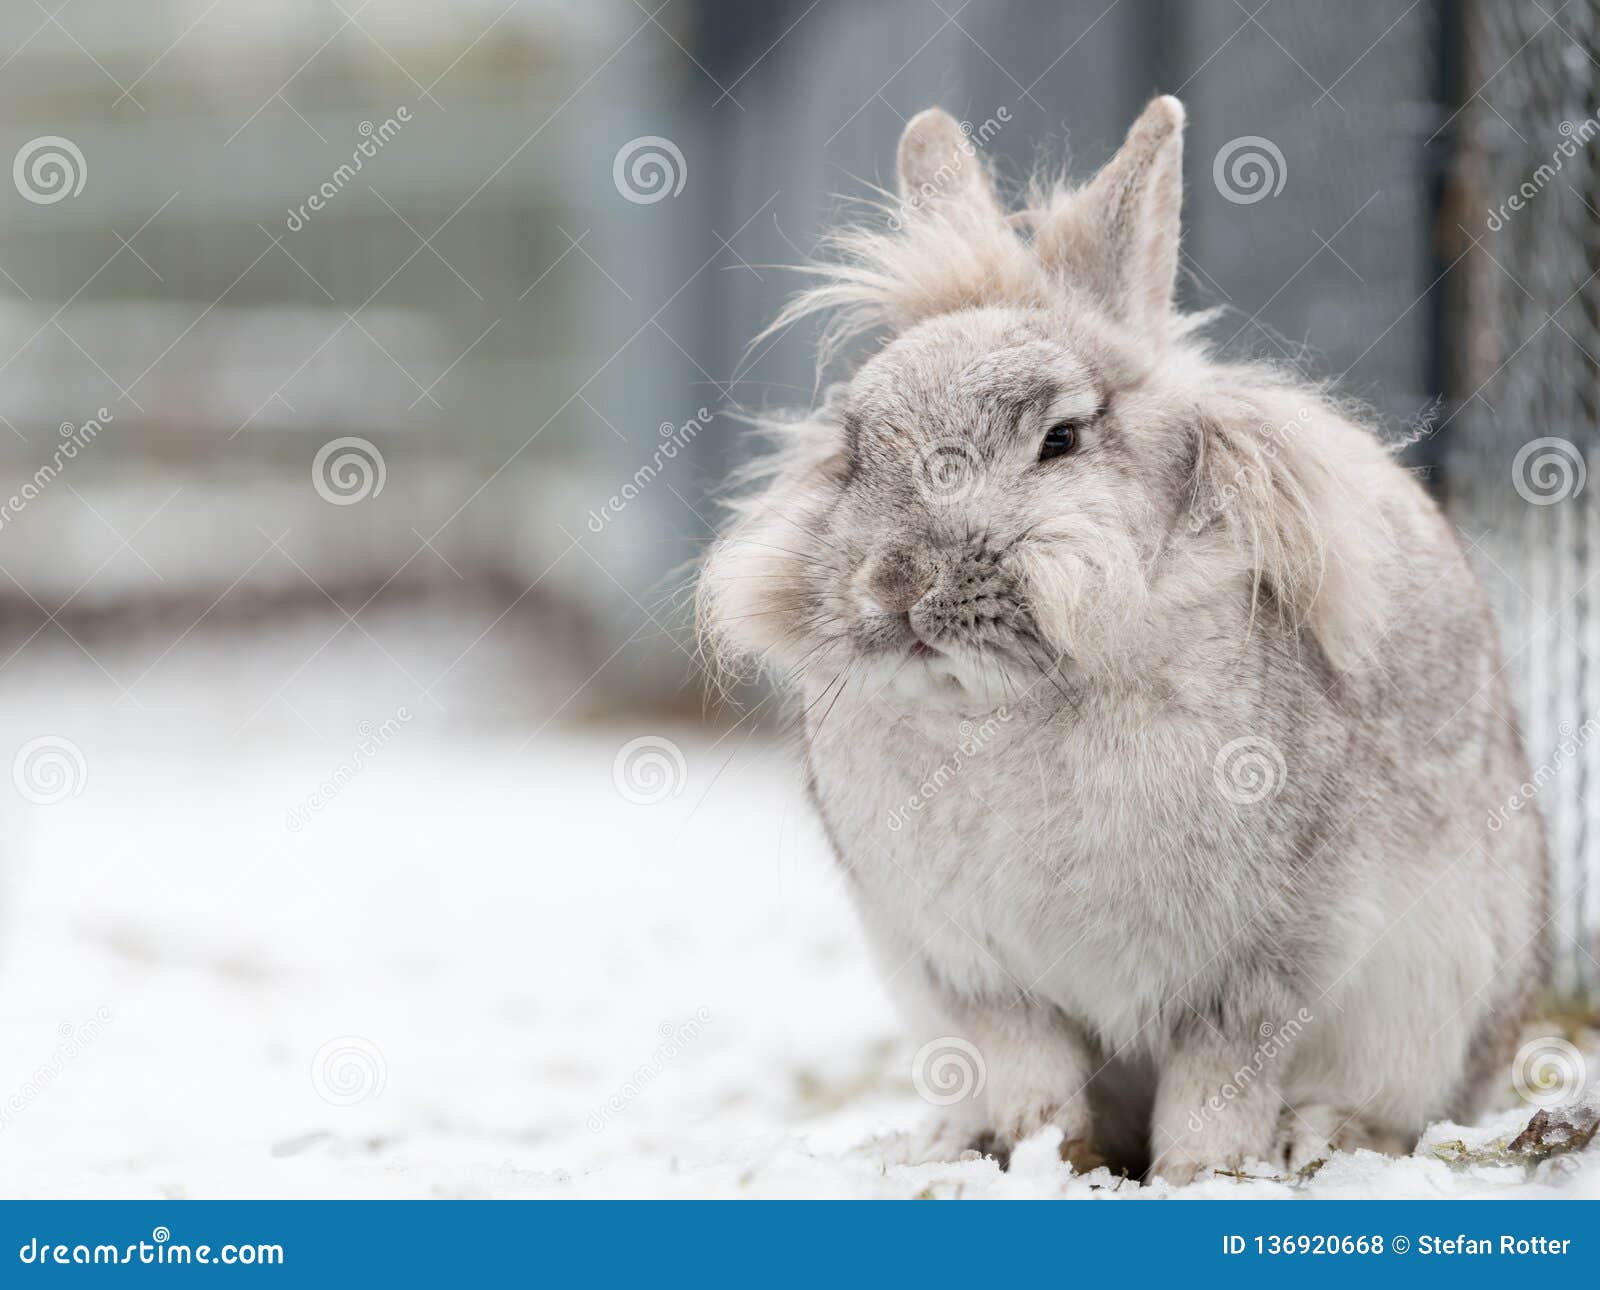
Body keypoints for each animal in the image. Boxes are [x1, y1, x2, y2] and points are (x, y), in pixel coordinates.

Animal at [700, 98, 1548, 1190]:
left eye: (1059, 439)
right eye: (853, 451)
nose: (898, 585)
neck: (999, 706)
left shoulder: (1260, 966)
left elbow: (1218, 1084)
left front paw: (1198, 1178)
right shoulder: (975, 975)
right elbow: (1035, 1083)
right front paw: (1038, 1163)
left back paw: (1322, 1141)